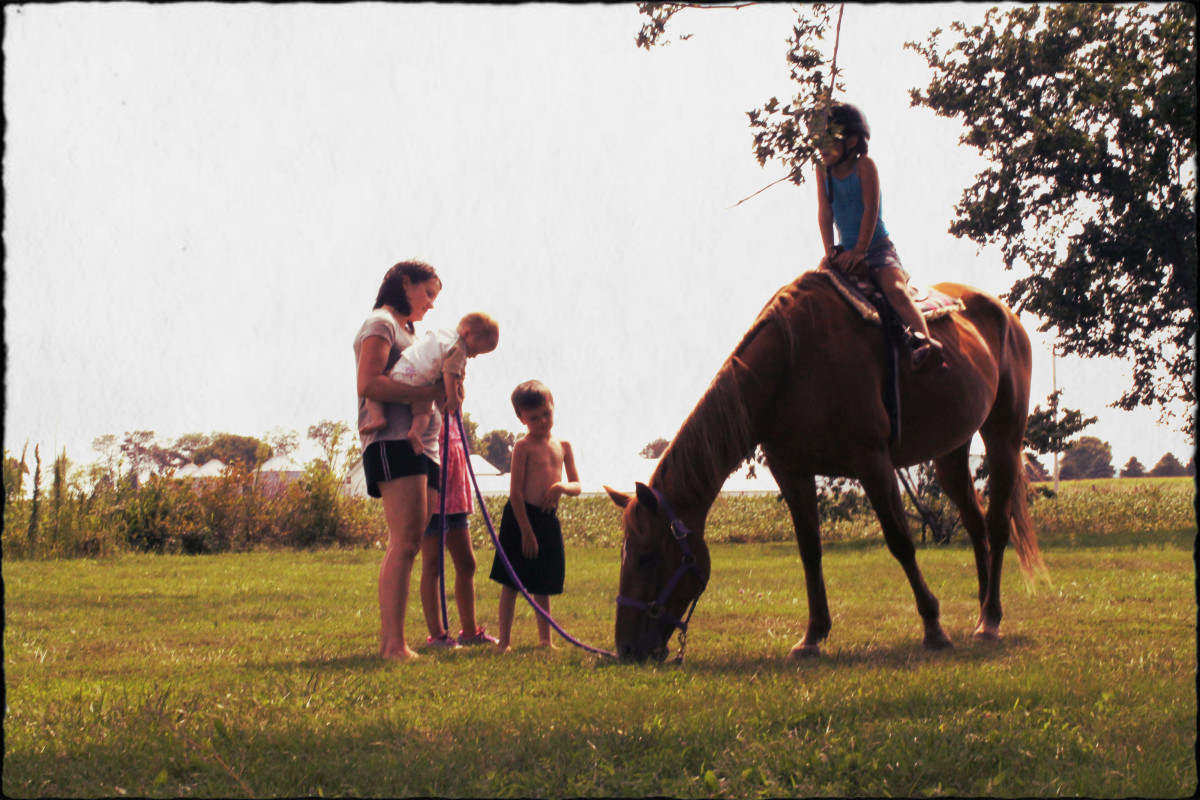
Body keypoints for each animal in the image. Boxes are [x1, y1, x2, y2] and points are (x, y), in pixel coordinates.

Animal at [604, 268, 1046, 662]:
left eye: (646, 556)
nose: (625, 649)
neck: (793, 361)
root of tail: (1006, 316)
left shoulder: (873, 462)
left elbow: (900, 541)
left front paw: (933, 627)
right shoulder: (791, 470)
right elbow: (810, 550)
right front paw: (813, 635)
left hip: (1003, 437)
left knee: (997, 524)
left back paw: (990, 620)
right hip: (950, 454)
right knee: (975, 526)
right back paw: (983, 610)